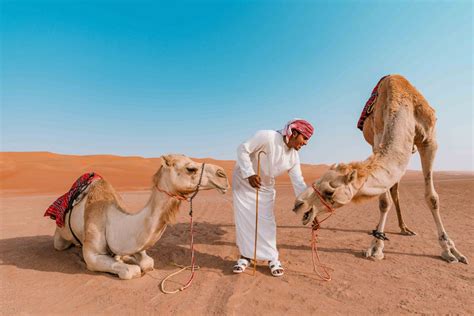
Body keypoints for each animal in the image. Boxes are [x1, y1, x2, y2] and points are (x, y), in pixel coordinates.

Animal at [51, 154, 230, 280]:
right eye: (191, 169)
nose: (223, 174)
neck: (112, 219)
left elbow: (147, 262)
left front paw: (126, 257)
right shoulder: (92, 254)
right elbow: (131, 271)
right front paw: (125, 263)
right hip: (60, 237)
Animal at [292, 74, 466, 264]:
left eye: (329, 192)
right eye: (316, 182)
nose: (299, 205)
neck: (405, 103)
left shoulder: (430, 142)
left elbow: (432, 198)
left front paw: (450, 250)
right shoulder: (378, 138)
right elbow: (384, 201)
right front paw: (376, 247)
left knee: (395, 189)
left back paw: (405, 228)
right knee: (392, 190)